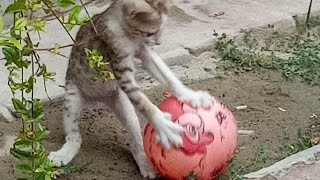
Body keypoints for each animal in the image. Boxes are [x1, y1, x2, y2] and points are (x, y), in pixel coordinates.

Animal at [48, 0, 214, 178]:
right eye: (150, 32)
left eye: (162, 29)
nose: (159, 43)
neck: (129, 33)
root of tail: (98, 98)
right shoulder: (121, 68)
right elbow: (143, 102)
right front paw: (163, 124)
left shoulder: (146, 53)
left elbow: (168, 76)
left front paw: (191, 96)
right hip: (72, 95)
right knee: (75, 136)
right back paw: (64, 153)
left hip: (122, 103)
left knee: (136, 140)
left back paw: (145, 162)